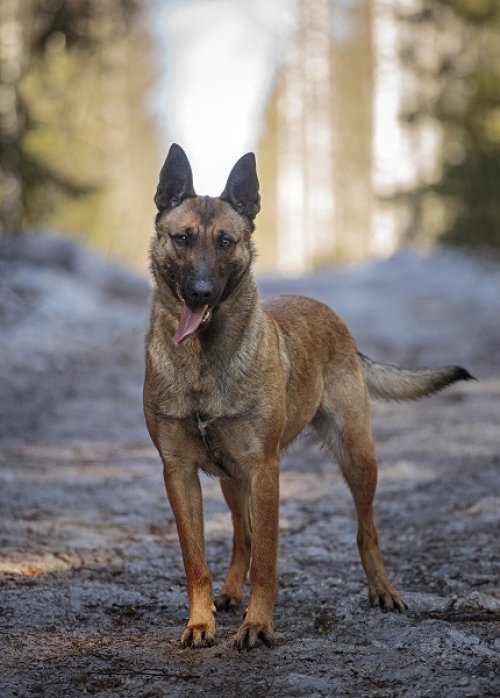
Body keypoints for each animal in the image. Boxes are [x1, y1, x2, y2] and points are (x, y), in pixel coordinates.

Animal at [143, 144, 473, 650]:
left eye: (225, 242)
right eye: (182, 238)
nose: (200, 292)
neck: (205, 359)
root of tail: (334, 319)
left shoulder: (265, 471)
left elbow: (269, 561)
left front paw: (258, 625)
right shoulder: (180, 473)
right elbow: (196, 561)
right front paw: (201, 622)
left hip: (356, 458)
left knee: (366, 531)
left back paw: (383, 590)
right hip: (232, 479)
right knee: (242, 536)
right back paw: (230, 593)